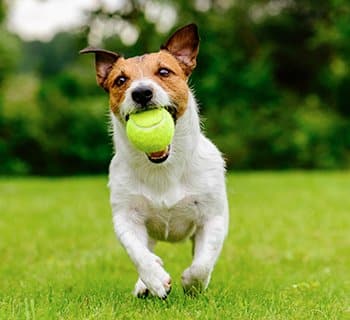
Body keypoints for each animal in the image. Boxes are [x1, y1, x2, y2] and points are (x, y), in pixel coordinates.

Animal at [81, 23, 230, 298]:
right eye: (120, 80)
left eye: (164, 71)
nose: (141, 92)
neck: (163, 168)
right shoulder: (126, 217)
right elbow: (138, 253)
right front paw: (155, 279)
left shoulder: (213, 217)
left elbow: (203, 263)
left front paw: (192, 283)